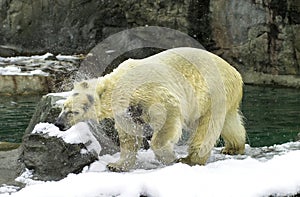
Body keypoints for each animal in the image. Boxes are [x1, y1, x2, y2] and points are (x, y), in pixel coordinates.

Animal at [54, 47, 246, 171]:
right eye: (63, 107)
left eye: (73, 112)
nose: (59, 124)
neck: (120, 84)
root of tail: (235, 73)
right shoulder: (126, 110)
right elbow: (128, 135)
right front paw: (116, 165)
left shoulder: (151, 93)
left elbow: (168, 116)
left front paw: (169, 157)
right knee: (229, 122)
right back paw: (233, 147)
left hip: (213, 91)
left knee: (206, 128)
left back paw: (190, 159)